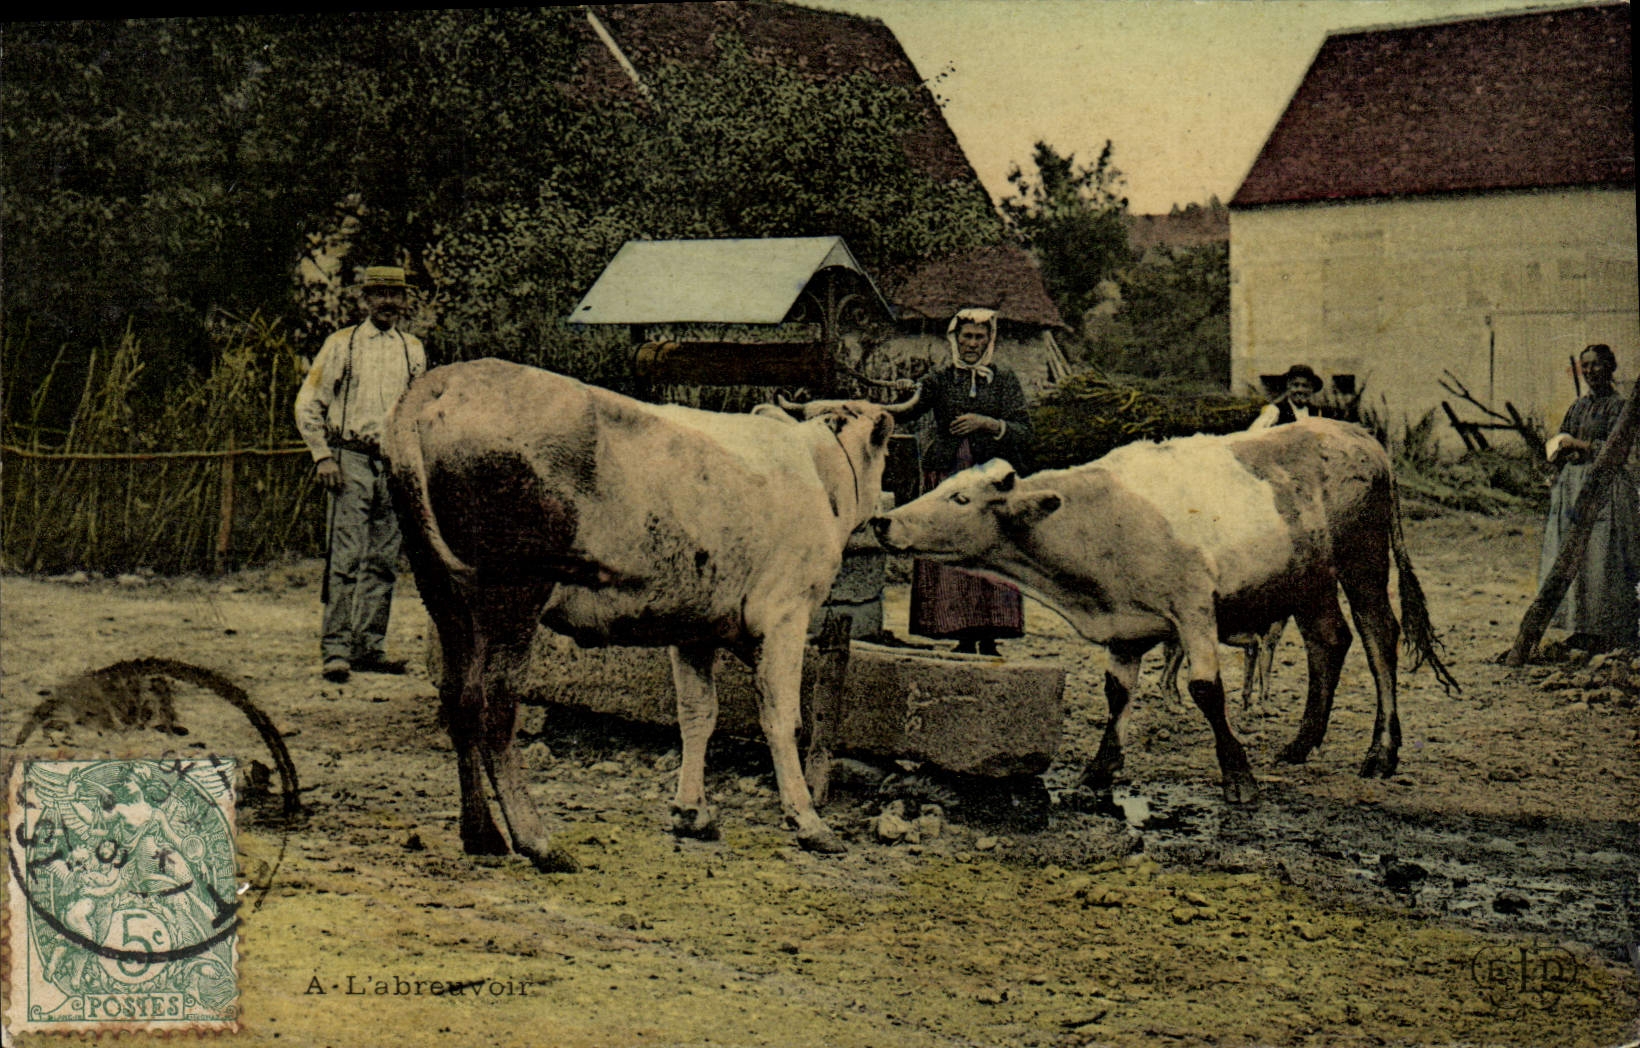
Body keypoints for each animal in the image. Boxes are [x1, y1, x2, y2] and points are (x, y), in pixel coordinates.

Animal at [383, 359, 916, 871]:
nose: (882, 518)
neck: (818, 468)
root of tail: (444, 381)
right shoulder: (784, 613)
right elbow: (782, 717)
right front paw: (808, 821)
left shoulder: (696, 627)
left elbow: (698, 714)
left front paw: (691, 813)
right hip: (514, 597)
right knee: (493, 706)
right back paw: (537, 840)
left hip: (445, 596)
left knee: (459, 699)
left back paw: (482, 835)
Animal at [871, 418, 1458, 804]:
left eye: (960, 500)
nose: (883, 522)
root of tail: (1357, 434)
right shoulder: (1124, 626)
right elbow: (1116, 693)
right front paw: (1100, 768)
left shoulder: (1193, 608)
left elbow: (1205, 690)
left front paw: (1238, 776)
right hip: (1307, 580)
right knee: (1329, 641)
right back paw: (1300, 743)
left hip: (1362, 563)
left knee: (1379, 641)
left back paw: (1382, 753)